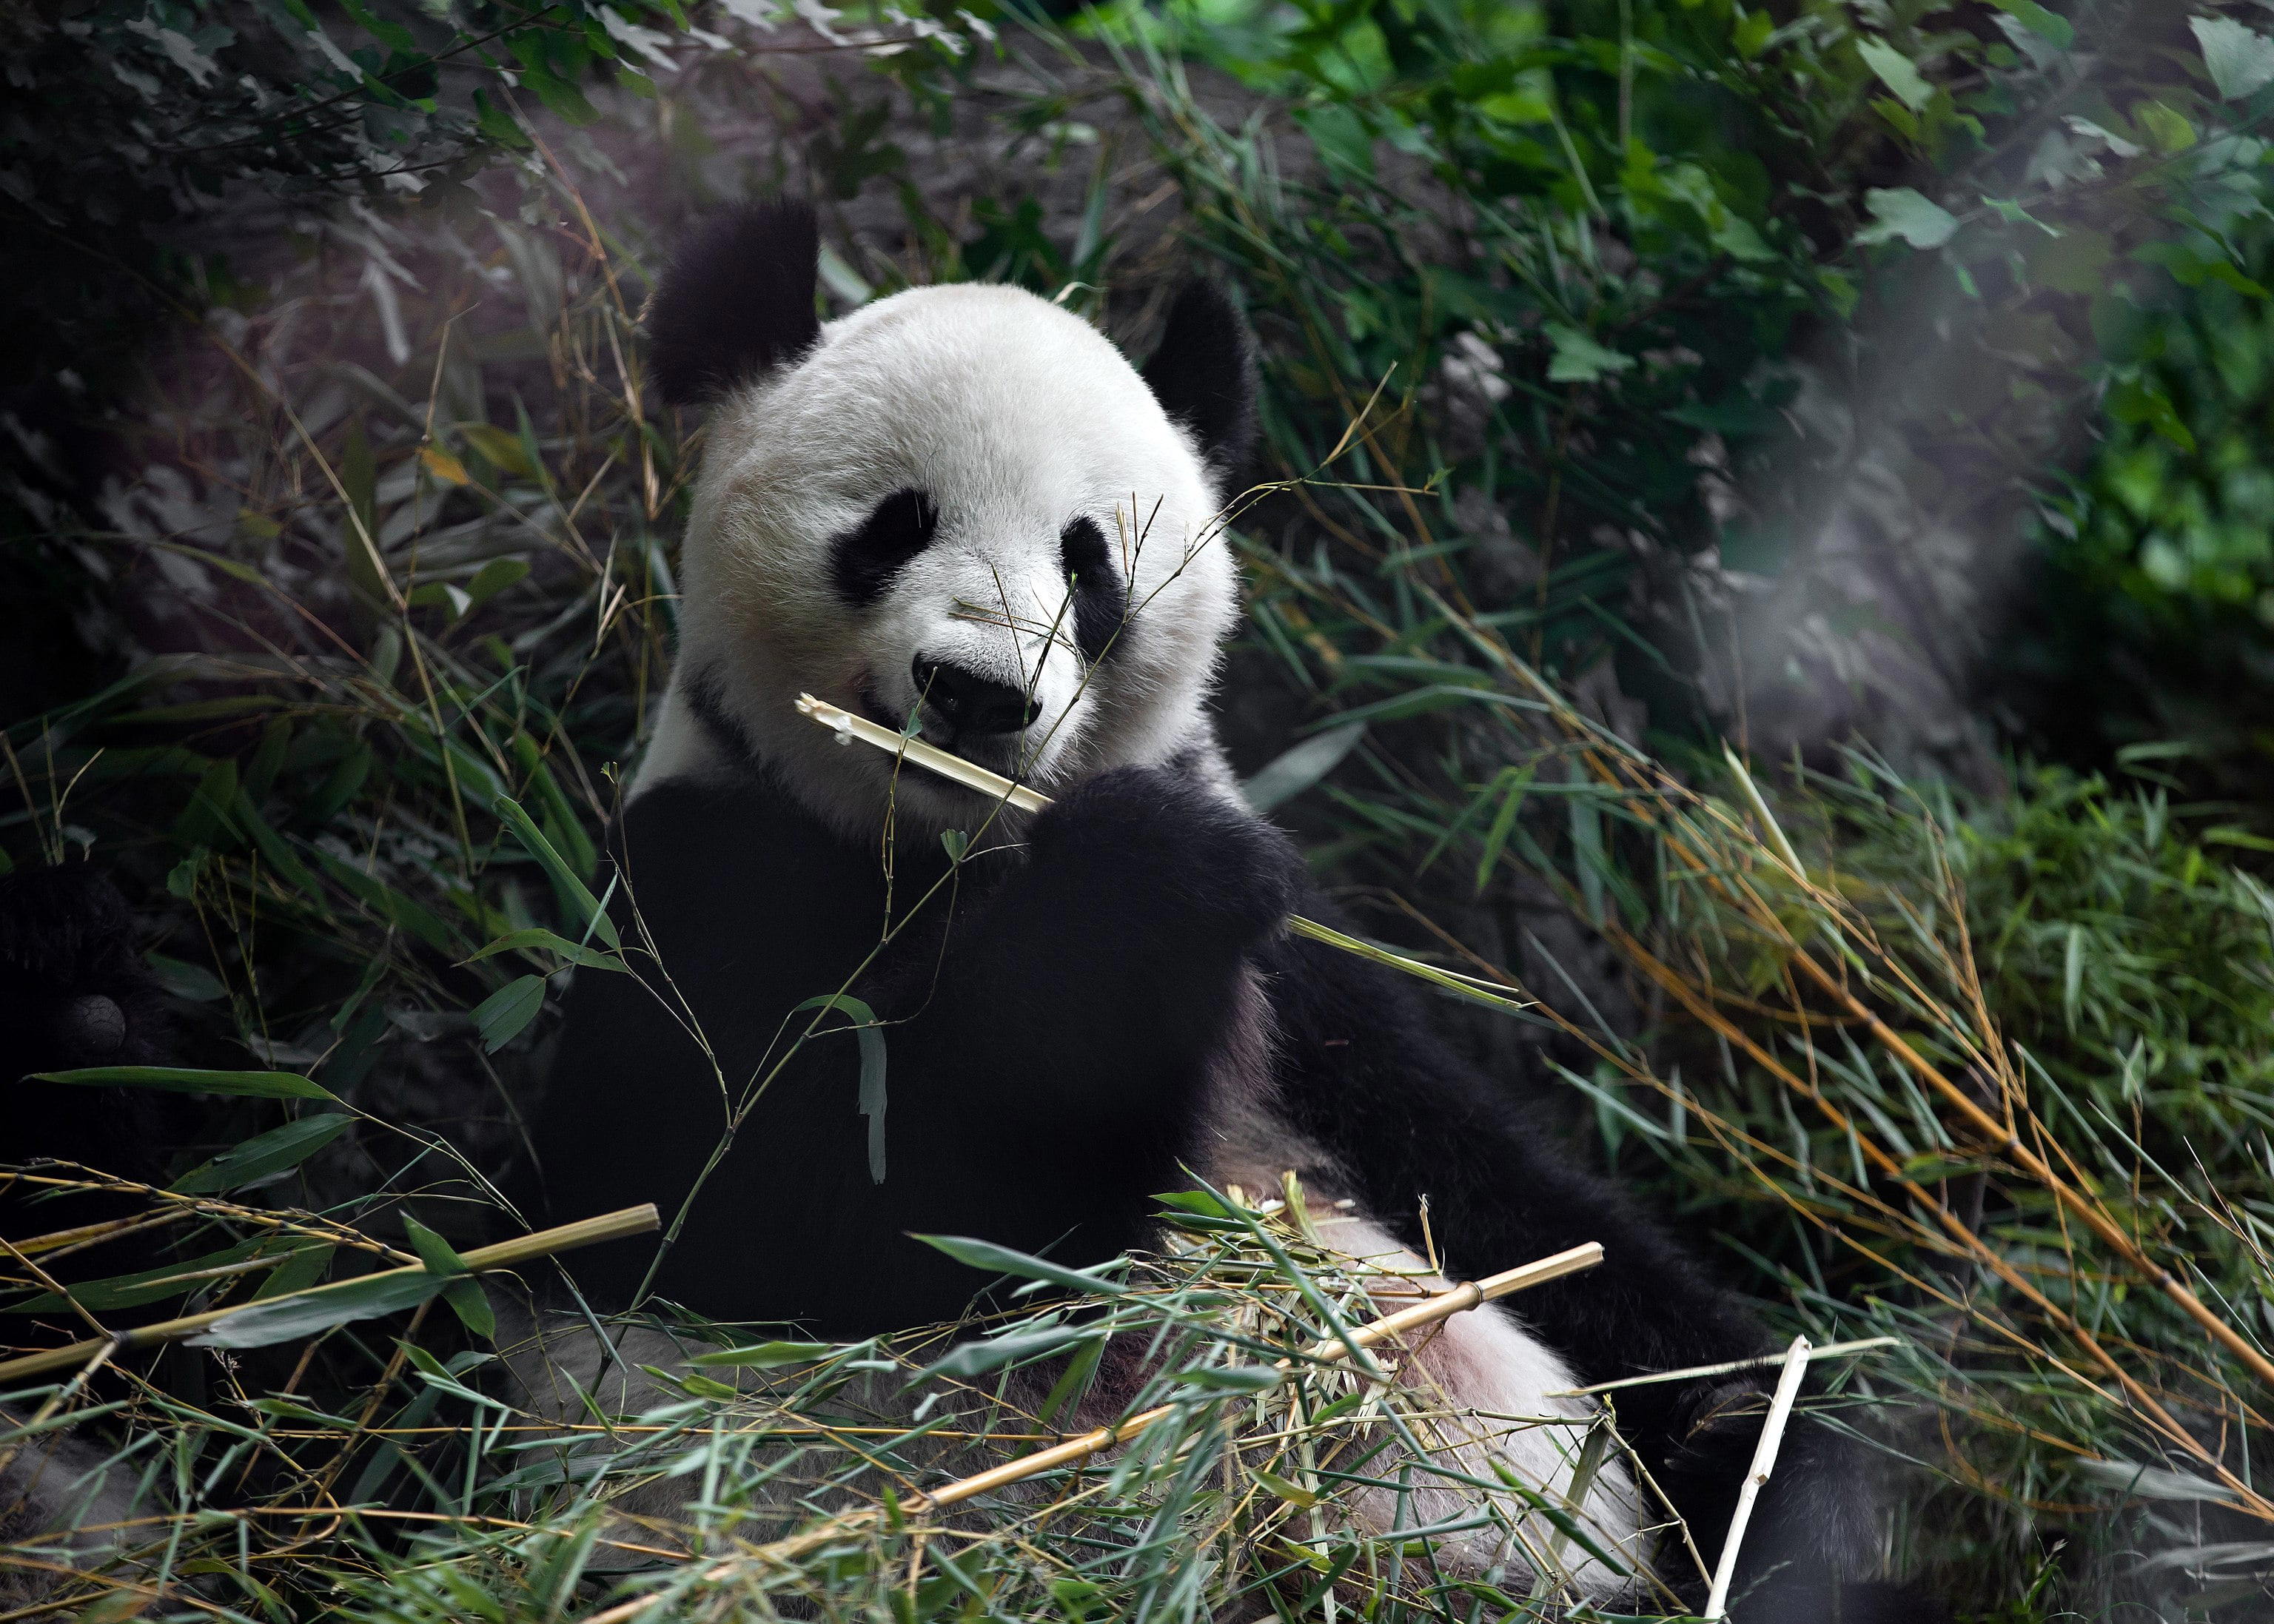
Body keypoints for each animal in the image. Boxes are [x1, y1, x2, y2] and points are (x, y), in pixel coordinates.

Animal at [523, 202, 1891, 1619]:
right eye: (894, 525)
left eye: (1089, 562)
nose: (978, 691)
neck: (951, 847)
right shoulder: (708, 867)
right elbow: (754, 1214)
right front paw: (1134, 884)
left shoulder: (1305, 989)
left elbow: (1518, 1201)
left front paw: (1781, 1457)